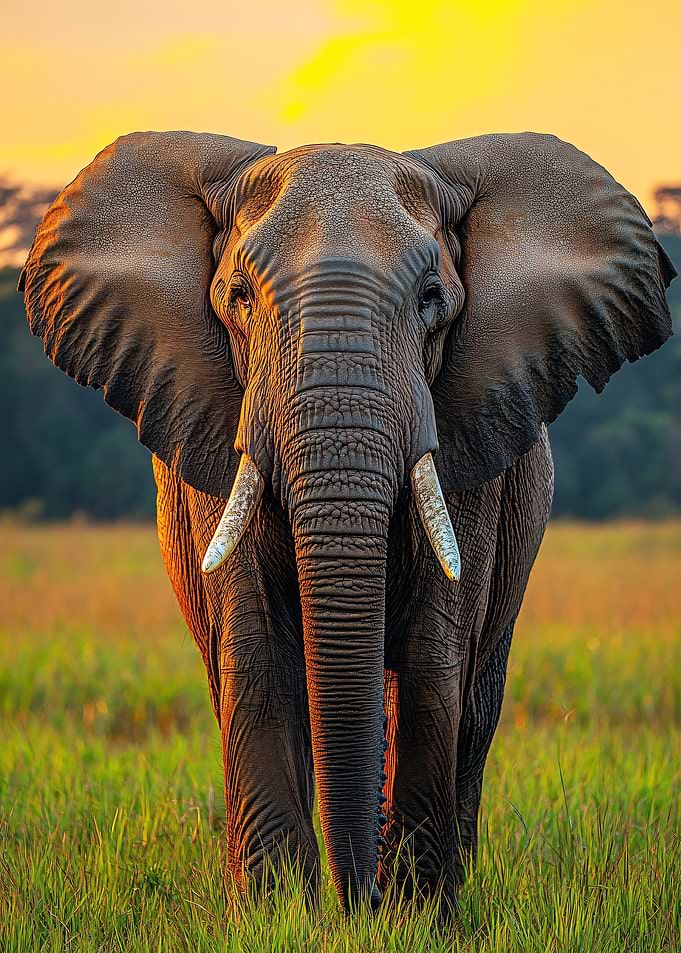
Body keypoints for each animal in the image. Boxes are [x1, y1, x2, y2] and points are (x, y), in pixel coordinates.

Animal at [20, 130, 675, 912]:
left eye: (431, 299)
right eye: (239, 298)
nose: (353, 899)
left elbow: (433, 653)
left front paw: (415, 916)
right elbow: (258, 649)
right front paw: (277, 913)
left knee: (476, 701)